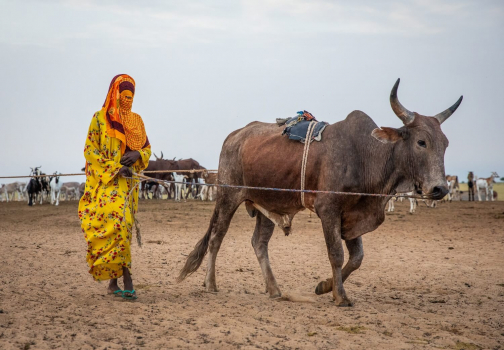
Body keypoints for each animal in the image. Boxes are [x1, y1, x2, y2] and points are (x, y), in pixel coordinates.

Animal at [179, 79, 462, 306]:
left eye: (446, 143)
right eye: (421, 142)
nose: (440, 188)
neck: (366, 155)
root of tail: (234, 137)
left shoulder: (352, 214)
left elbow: (357, 258)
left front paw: (324, 286)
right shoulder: (329, 210)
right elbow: (336, 254)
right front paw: (340, 295)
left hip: (266, 204)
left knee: (259, 243)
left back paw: (274, 289)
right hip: (228, 197)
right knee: (216, 237)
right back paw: (211, 284)